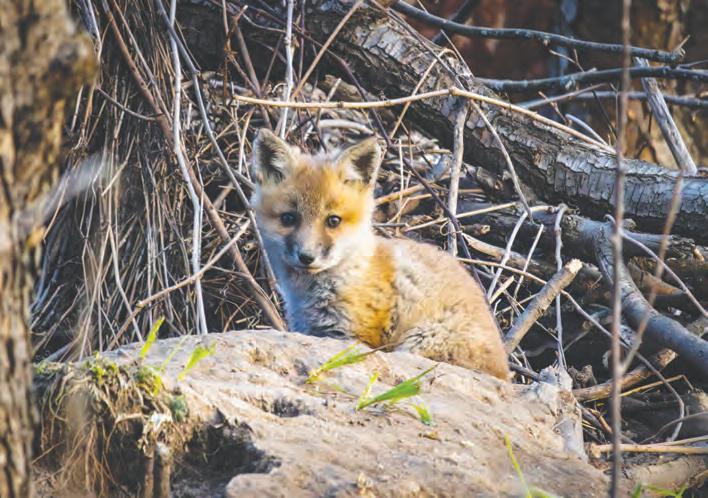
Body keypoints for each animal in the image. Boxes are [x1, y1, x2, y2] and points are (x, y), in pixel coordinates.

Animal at [250, 129, 510, 380]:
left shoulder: (354, 335)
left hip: (419, 341)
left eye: (333, 221)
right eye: (288, 218)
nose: (307, 257)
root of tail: (506, 371)